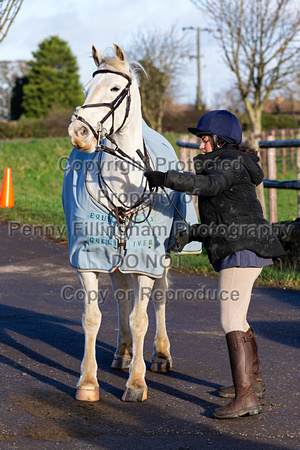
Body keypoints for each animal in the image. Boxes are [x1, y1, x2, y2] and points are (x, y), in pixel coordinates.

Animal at [64, 44, 200, 402]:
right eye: (87, 88)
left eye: (114, 88)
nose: (78, 132)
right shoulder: (89, 256)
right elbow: (92, 317)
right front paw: (88, 382)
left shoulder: (146, 260)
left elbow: (141, 318)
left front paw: (137, 383)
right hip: (117, 257)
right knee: (122, 295)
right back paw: (123, 352)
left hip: (160, 258)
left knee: (160, 298)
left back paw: (160, 355)